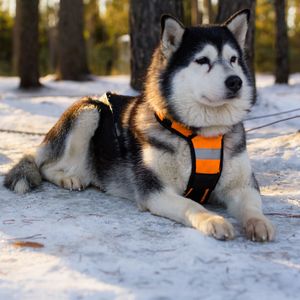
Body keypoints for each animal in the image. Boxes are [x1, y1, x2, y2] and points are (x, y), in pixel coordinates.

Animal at [3, 9, 276, 243]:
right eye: (202, 60)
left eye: (233, 59)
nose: (235, 82)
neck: (200, 134)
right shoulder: (155, 190)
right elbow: (192, 205)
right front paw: (213, 220)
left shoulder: (242, 185)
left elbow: (252, 204)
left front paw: (258, 222)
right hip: (88, 112)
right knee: (45, 166)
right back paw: (67, 178)